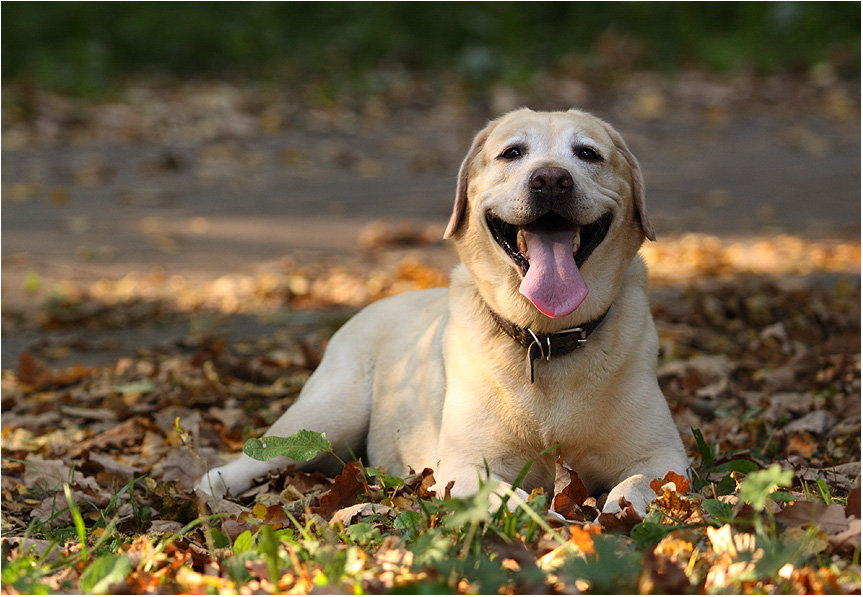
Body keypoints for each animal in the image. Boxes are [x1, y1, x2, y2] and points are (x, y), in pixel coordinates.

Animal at [196, 106, 688, 512]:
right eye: (512, 153)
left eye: (587, 154)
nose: (551, 179)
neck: (544, 338)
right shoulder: (466, 465)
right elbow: (512, 501)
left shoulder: (665, 457)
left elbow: (637, 487)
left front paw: (611, 513)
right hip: (328, 412)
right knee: (258, 454)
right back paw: (211, 487)